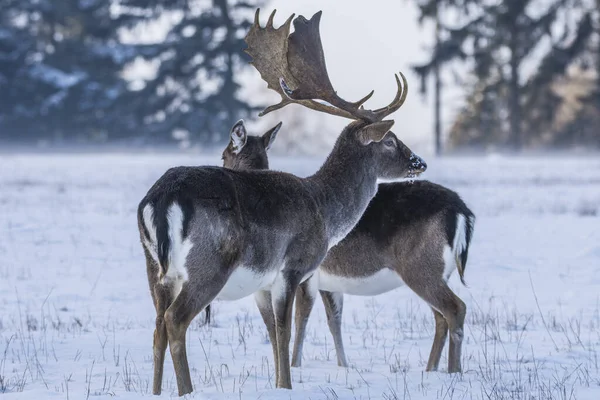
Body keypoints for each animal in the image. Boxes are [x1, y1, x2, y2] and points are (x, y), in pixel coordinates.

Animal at [137, 9, 426, 396]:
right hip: (209, 262)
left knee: (157, 326)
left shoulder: (261, 283)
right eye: (391, 140)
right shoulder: (293, 266)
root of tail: (161, 198)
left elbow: (273, 336)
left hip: (154, 268)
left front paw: (279, 382)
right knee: (175, 320)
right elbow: (285, 333)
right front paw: (286, 386)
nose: (420, 163)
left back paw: (155, 391)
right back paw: (187, 390)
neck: (325, 211)